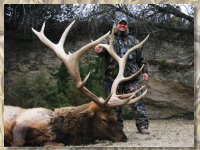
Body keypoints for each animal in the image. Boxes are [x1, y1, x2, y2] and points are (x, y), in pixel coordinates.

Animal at [3, 20, 149, 146]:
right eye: (104, 119)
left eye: (115, 116)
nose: (124, 138)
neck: (58, 129)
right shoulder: (22, 123)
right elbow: (18, 142)